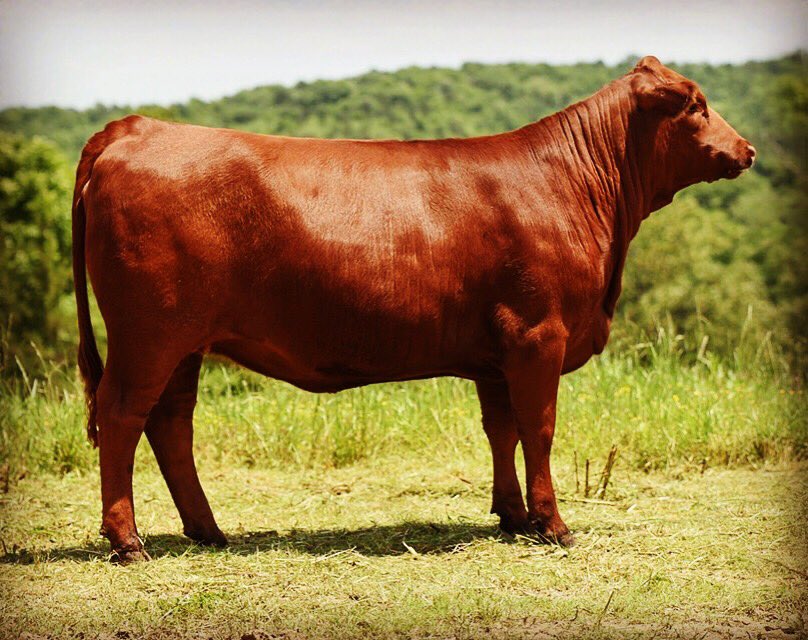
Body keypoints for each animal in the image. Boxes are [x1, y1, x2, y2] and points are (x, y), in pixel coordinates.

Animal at [71, 56, 755, 562]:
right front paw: (553, 524)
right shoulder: (539, 334)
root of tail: (136, 127)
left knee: (170, 425)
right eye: (696, 105)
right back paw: (128, 541)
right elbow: (539, 428)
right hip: (149, 335)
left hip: (185, 343)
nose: (746, 149)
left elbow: (501, 429)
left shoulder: (498, 352)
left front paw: (511, 516)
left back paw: (208, 531)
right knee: (124, 414)